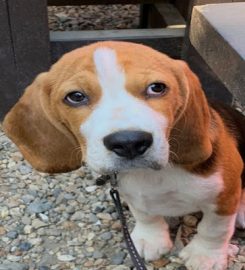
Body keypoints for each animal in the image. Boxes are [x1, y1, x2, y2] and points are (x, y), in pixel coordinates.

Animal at [2, 41, 244, 268]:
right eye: (76, 96)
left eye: (157, 88)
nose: (129, 142)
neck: (152, 174)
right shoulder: (131, 194)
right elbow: (146, 215)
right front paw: (150, 239)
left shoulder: (224, 195)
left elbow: (214, 229)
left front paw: (205, 256)